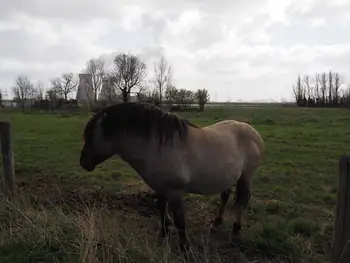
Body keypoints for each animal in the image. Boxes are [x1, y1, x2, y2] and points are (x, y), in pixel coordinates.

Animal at [80, 102, 266, 251]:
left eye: (91, 135)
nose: (83, 162)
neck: (158, 146)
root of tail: (253, 131)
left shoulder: (176, 192)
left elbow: (179, 219)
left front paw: (184, 246)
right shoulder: (160, 187)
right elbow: (161, 208)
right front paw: (163, 232)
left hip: (246, 176)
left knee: (241, 201)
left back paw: (236, 230)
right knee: (225, 196)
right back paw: (216, 223)